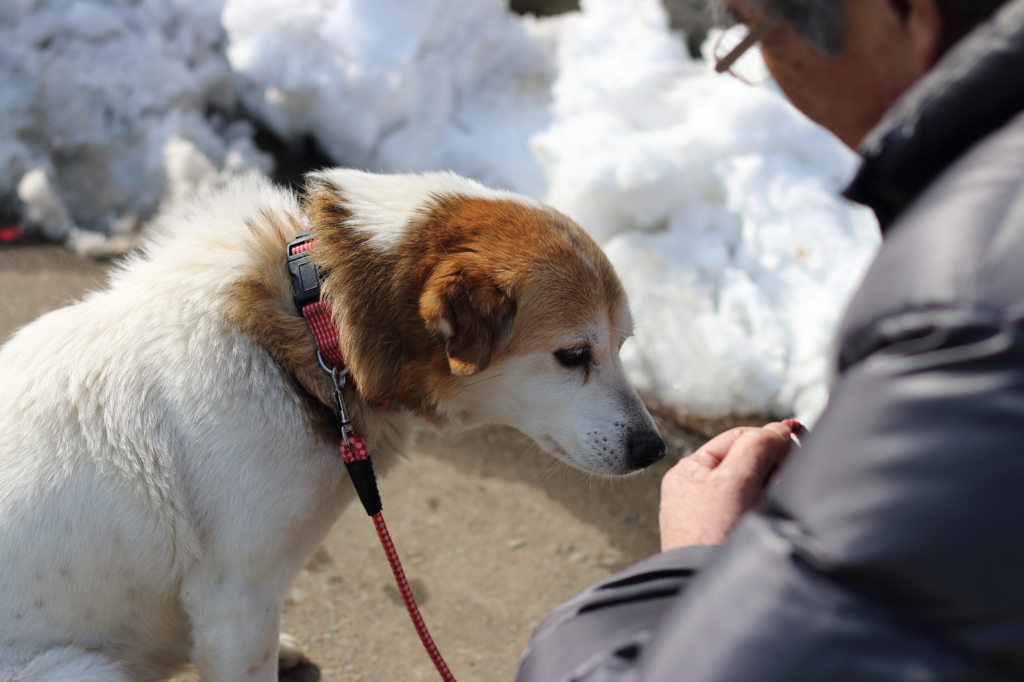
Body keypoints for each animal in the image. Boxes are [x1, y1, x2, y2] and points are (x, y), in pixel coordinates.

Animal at [0, 168, 663, 679]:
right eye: (573, 355)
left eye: (625, 344)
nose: (653, 449)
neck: (314, 328)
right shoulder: (234, 602)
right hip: (82, 669)